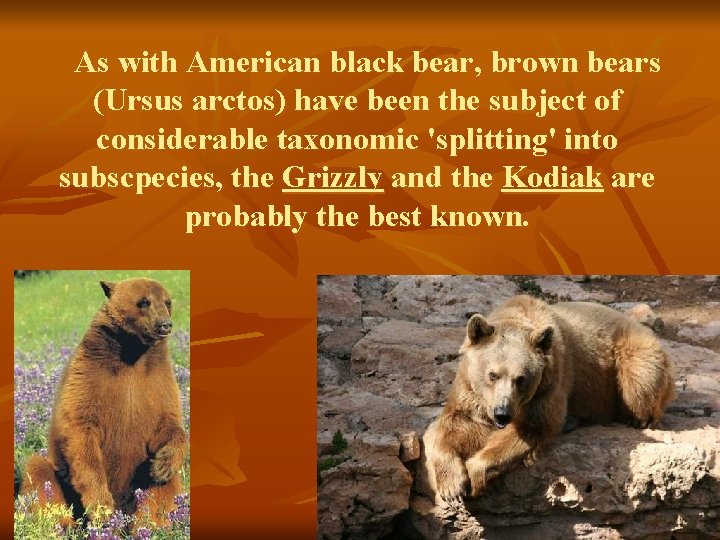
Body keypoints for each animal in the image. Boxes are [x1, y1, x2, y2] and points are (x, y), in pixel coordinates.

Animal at [21, 278, 188, 526]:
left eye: (167, 302)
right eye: (143, 302)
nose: (165, 325)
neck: (133, 354)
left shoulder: (158, 379)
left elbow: (168, 421)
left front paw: (162, 465)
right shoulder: (90, 372)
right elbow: (80, 426)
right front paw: (101, 504)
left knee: (163, 491)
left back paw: (150, 525)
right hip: (60, 479)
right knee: (39, 475)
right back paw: (62, 525)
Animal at [423, 294, 674, 503]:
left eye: (521, 379)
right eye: (492, 374)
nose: (502, 414)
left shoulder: (548, 386)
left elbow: (532, 429)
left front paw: (474, 476)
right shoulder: (470, 390)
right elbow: (456, 423)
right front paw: (452, 487)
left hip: (633, 352)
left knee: (640, 379)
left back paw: (637, 418)